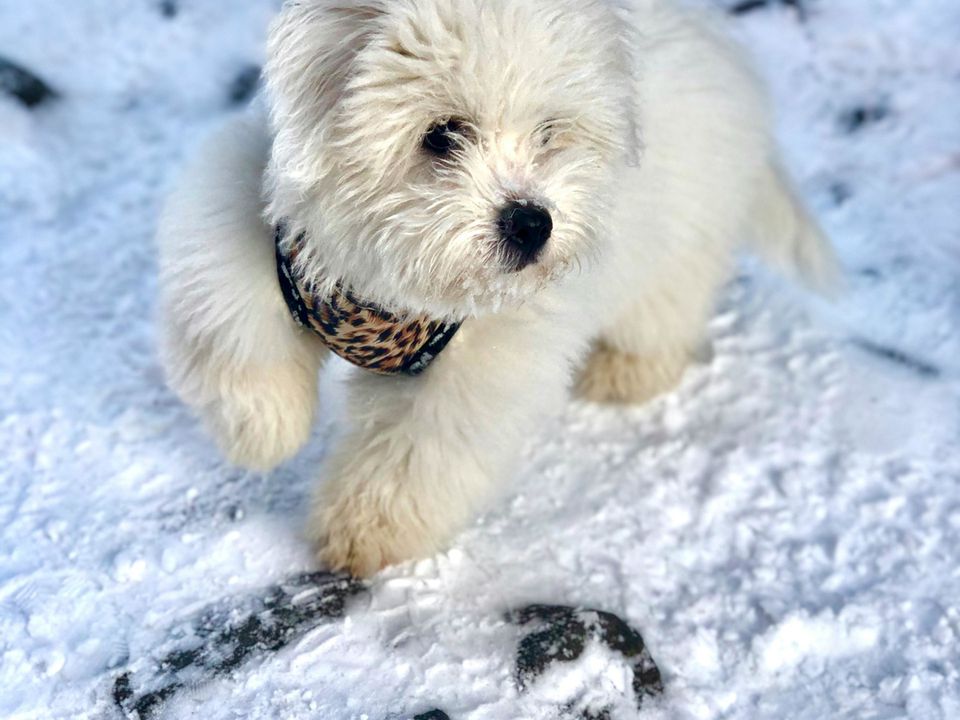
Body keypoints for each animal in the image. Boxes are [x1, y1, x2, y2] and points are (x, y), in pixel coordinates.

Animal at [156, 0, 832, 576]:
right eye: (442, 134)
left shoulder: (475, 372)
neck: (392, 279)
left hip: (676, 244)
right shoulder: (248, 224)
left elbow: (413, 453)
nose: (532, 222)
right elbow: (234, 332)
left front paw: (362, 534)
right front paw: (265, 431)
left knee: (663, 316)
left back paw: (623, 372)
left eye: (550, 131)